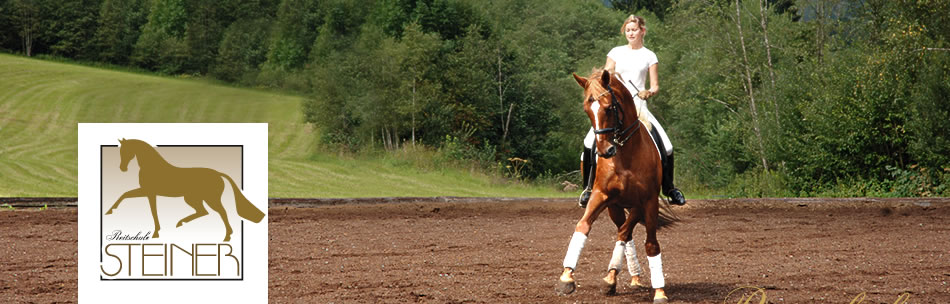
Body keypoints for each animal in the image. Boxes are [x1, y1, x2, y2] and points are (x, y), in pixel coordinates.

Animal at [560, 70, 680, 302]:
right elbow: (583, 226)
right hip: (614, 207)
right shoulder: (602, 195)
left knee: (625, 232)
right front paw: (567, 276)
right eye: (587, 110)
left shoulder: (647, 201)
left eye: (609, 108)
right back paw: (619, 276)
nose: (604, 151)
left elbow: (650, 244)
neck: (625, 154)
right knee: (625, 233)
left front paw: (660, 291)